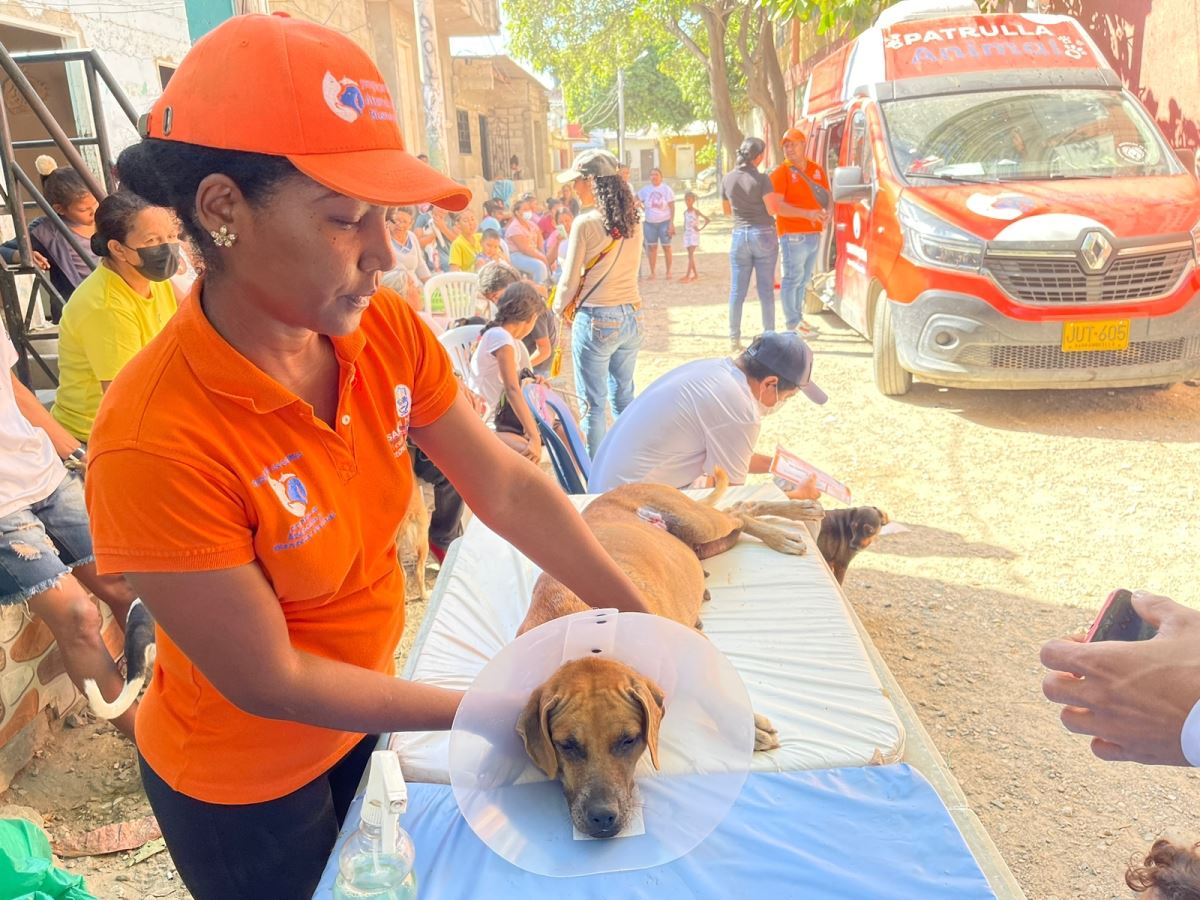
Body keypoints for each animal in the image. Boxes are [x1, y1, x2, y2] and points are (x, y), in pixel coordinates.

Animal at [511, 475, 820, 844]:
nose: (603, 819)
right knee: (739, 510)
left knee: (739, 511)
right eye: (566, 745)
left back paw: (789, 524)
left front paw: (748, 725)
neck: (590, 643)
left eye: (628, 740)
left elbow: (712, 690)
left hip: (697, 522)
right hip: (708, 543)